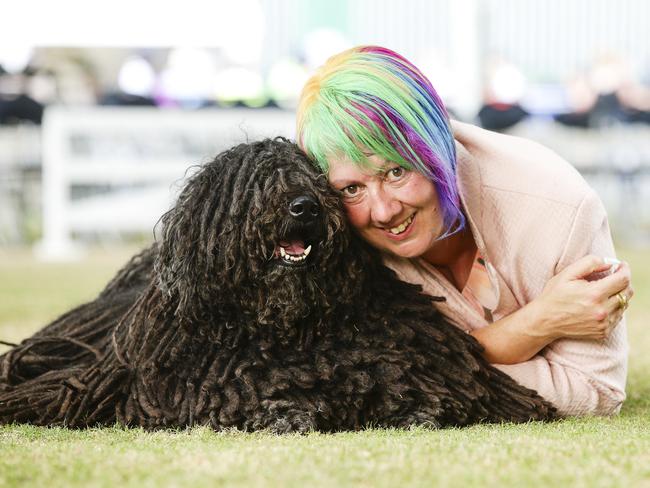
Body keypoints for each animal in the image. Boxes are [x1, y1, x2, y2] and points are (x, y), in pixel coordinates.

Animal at [1, 138, 556, 430]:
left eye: (315, 181)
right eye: (257, 186)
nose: (304, 207)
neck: (290, 326)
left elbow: (425, 383)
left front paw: (423, 406)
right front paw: (288, 412)